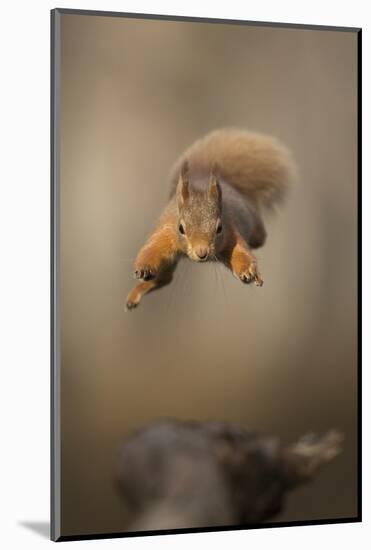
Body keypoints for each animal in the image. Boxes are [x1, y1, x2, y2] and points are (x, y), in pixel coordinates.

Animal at [127, 128, 296, 310]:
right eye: (181, 228)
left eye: (219, 228)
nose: (202, 252)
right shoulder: (166, 233)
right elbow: (151, 250)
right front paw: (144, 268)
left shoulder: (231, 234)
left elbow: (241, 253)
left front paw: (248, 271)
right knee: (165, 278)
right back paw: (136, 294)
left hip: (254, 227)